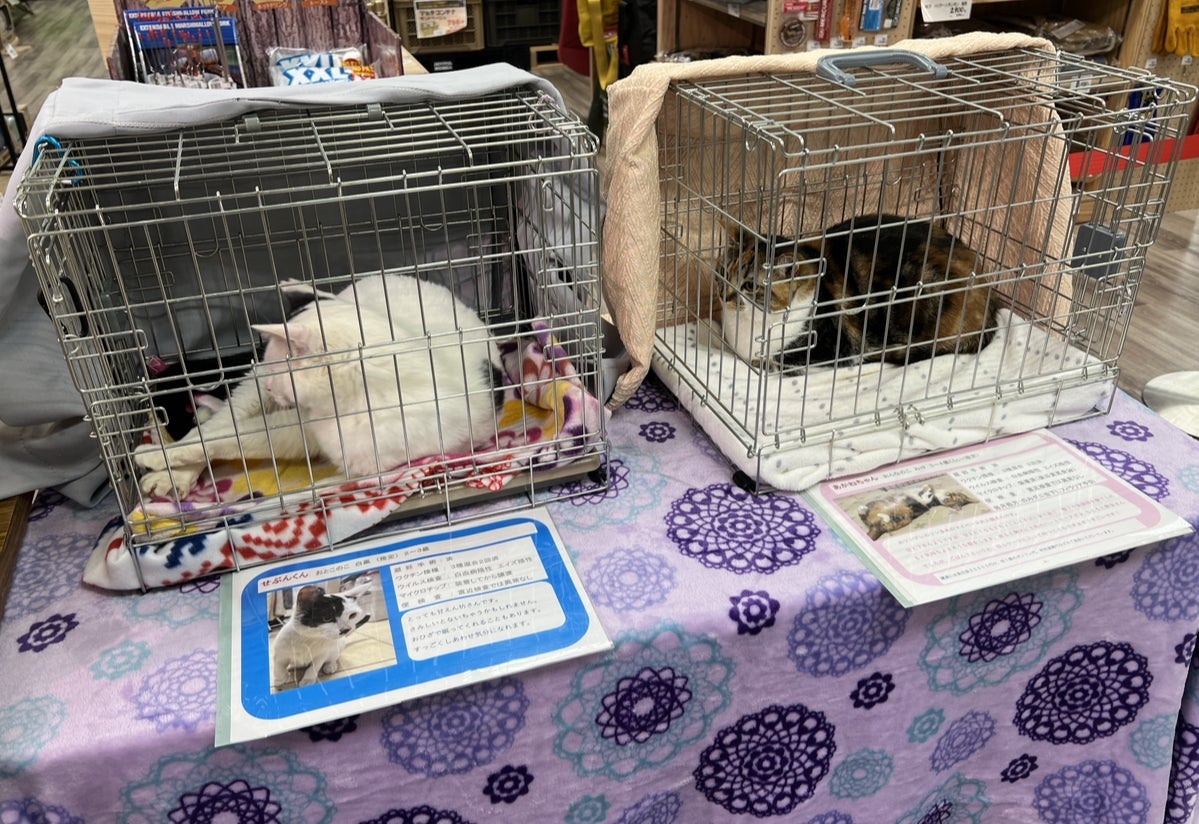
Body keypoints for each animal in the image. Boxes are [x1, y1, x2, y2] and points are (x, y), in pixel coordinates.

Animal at [134, 274, 502, 498]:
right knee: (222, 423)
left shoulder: (359, 464)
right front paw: (158, 457)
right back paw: (170, 474)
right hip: (251, 389)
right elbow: (230, 438)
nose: (271, 387)